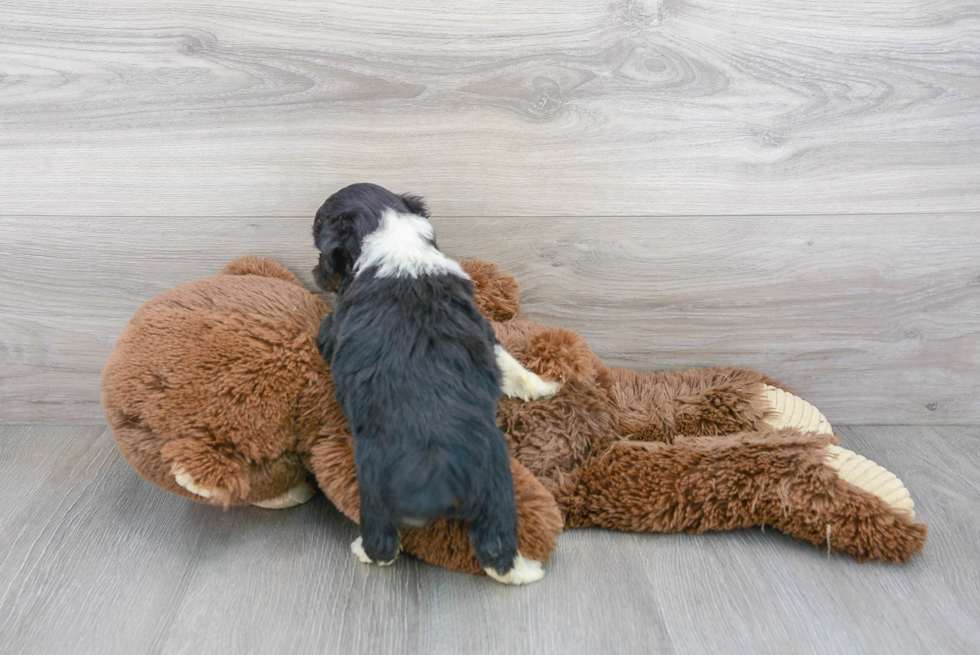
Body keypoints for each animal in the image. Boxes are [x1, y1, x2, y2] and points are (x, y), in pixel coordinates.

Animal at [314, 183, 560, 584]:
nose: (319, 275)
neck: (395, 238)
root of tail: (433, 468)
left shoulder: (335, 327)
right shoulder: (482, 329)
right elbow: (505, 357)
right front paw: (542, 386)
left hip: (373, 479)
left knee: (385, 541)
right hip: (494, 480)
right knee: (495, 544)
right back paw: (525, 570)